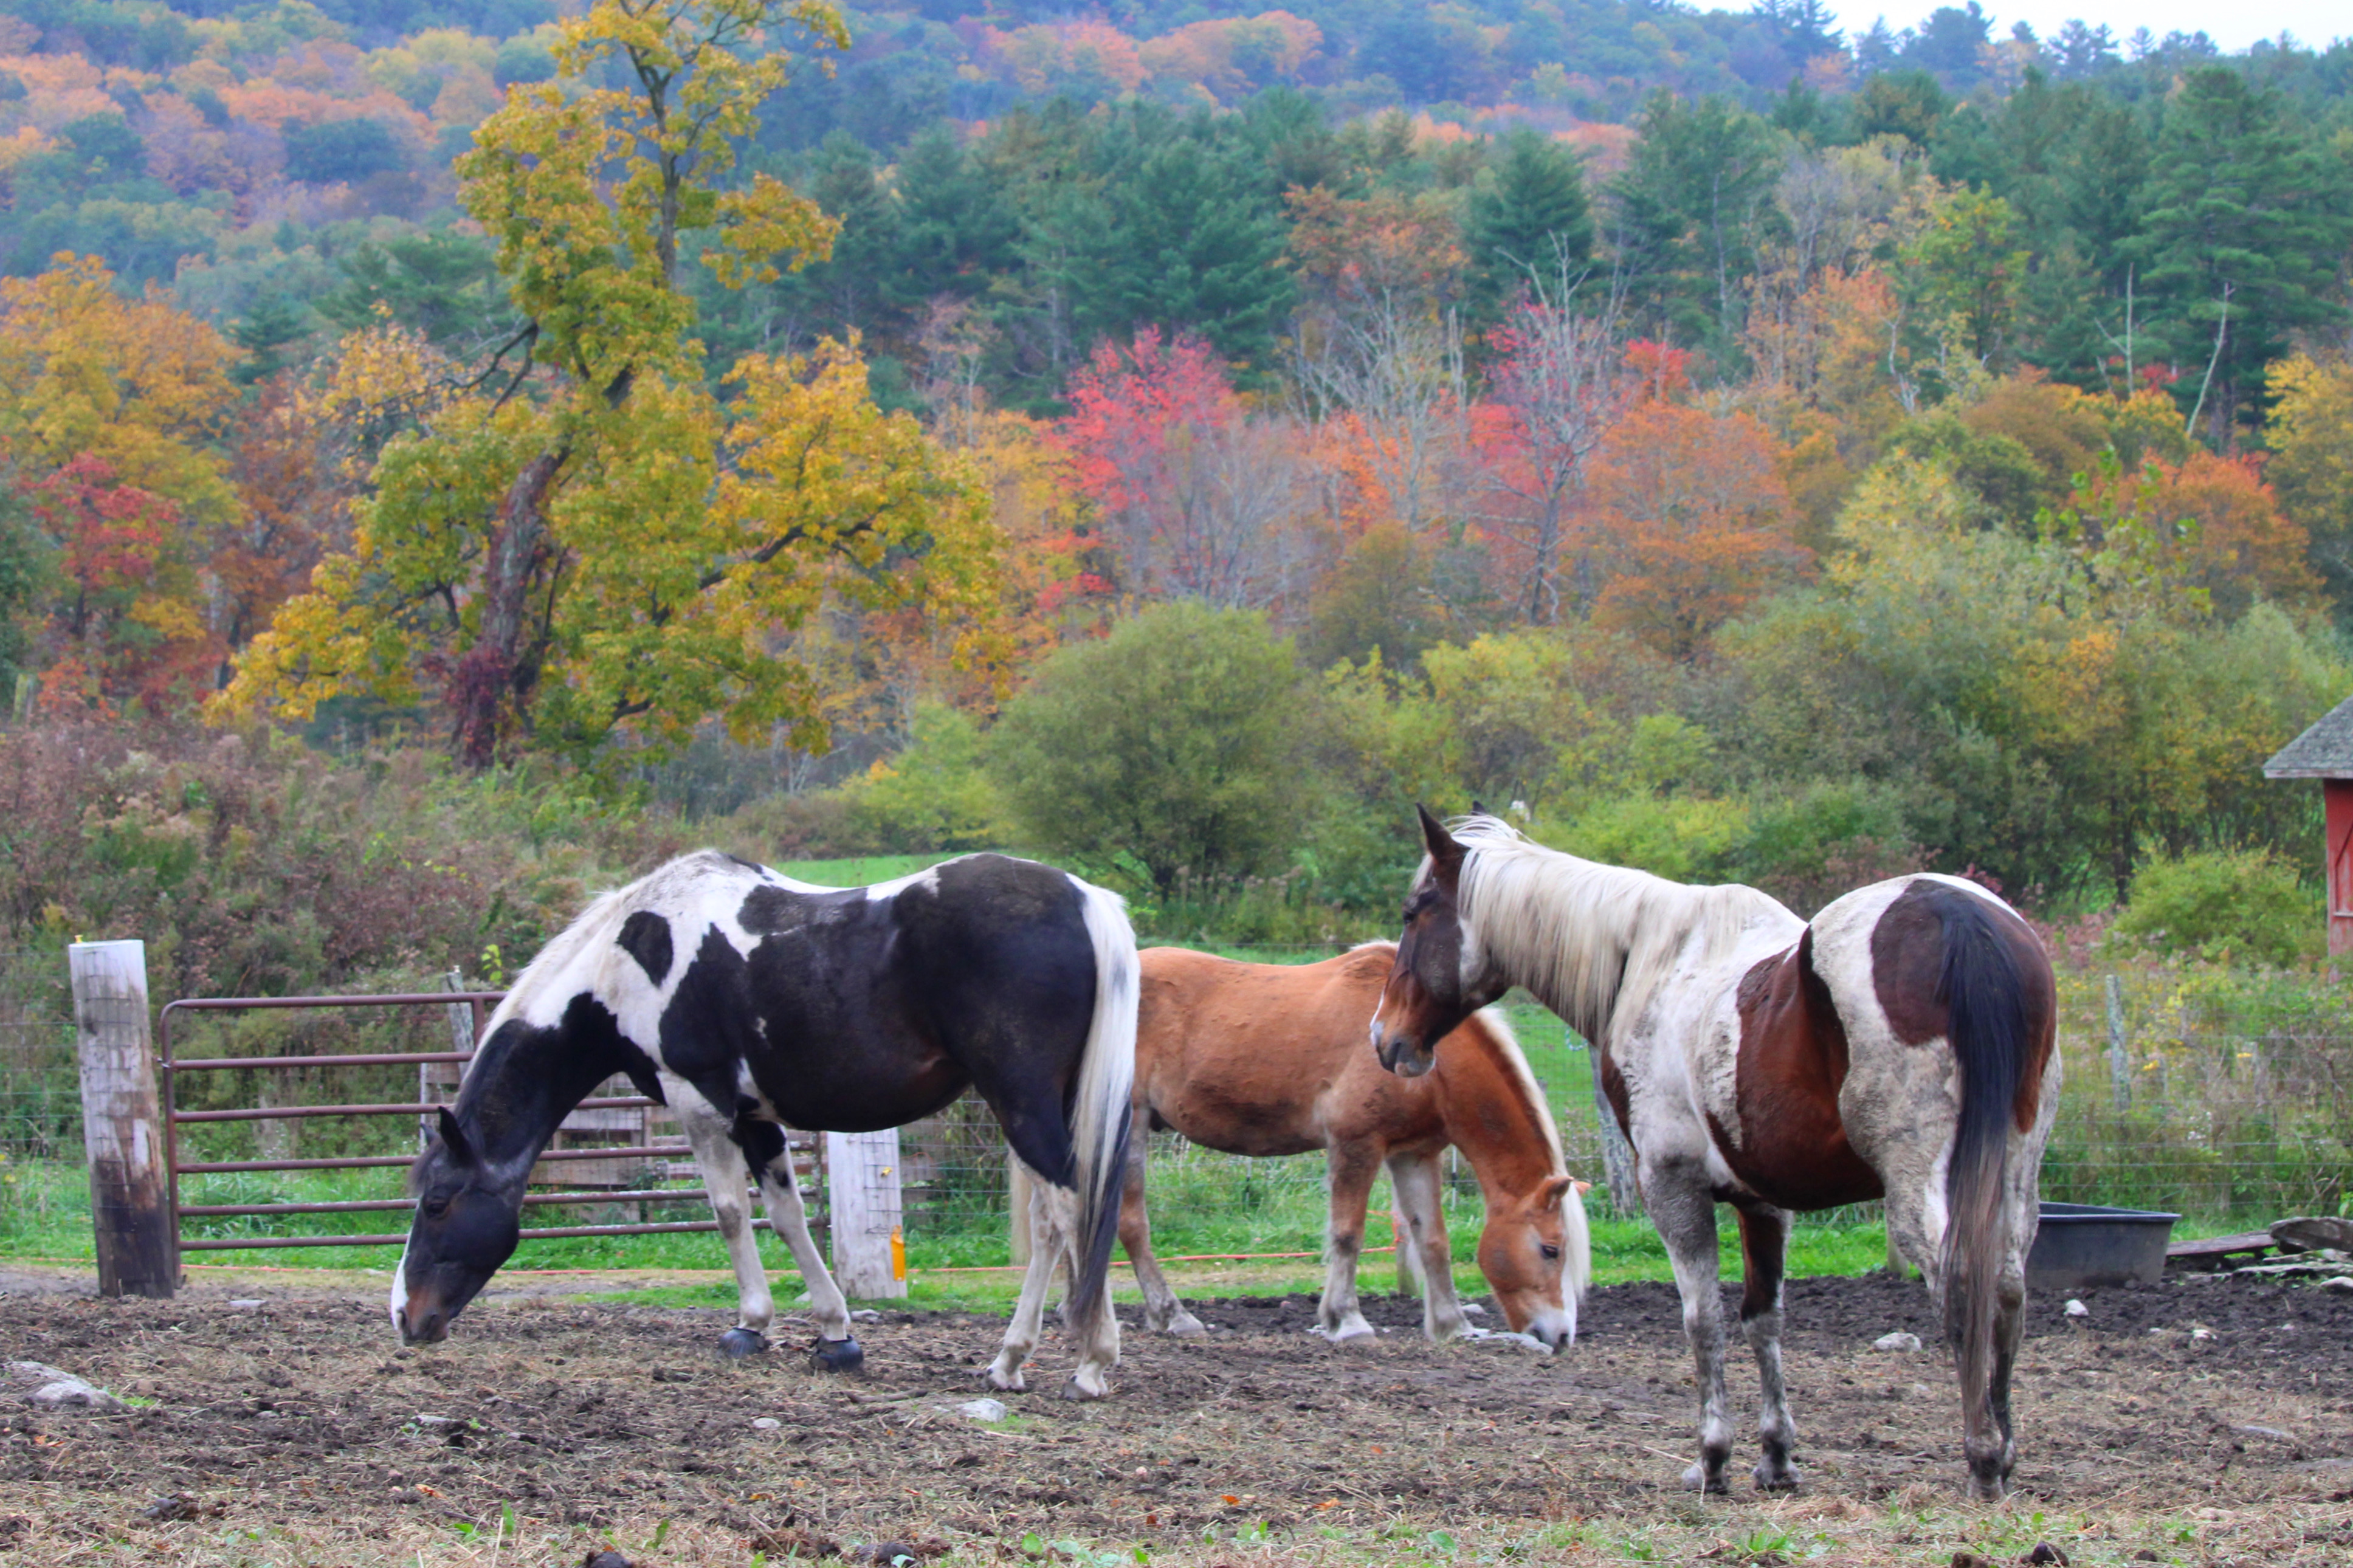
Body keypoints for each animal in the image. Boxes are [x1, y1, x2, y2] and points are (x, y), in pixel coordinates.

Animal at [391, 849, 1139, 1399]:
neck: (624, 961)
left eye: (438, 1203)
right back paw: (1041, 1356)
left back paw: (1072, 1362)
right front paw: (834, 1334)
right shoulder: (756, 1120)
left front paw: (750, 1327)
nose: (405, 1317)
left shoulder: (700, 1106)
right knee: (1057, 1217)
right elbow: (785, 1215)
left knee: (1066, 1211)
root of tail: (1084, 899)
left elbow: (728, 1215)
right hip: (1049, 1107)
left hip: (1022, 1103)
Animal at [1372, 809, 2058, 1500]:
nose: (1385, 1037)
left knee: (1962, 1284)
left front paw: (1713, 1458)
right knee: (2007, 1288)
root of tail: (1960, 916)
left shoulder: (1671, 1185)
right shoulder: (1763, 1203)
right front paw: (1776, 1457)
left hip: (1919, 1178)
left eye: (1413, 912)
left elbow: (1703, 1320)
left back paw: (1982, 1458)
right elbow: (1763, 1318)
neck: (1648, 960)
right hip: (2015, 1169)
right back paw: (2006, 1450)